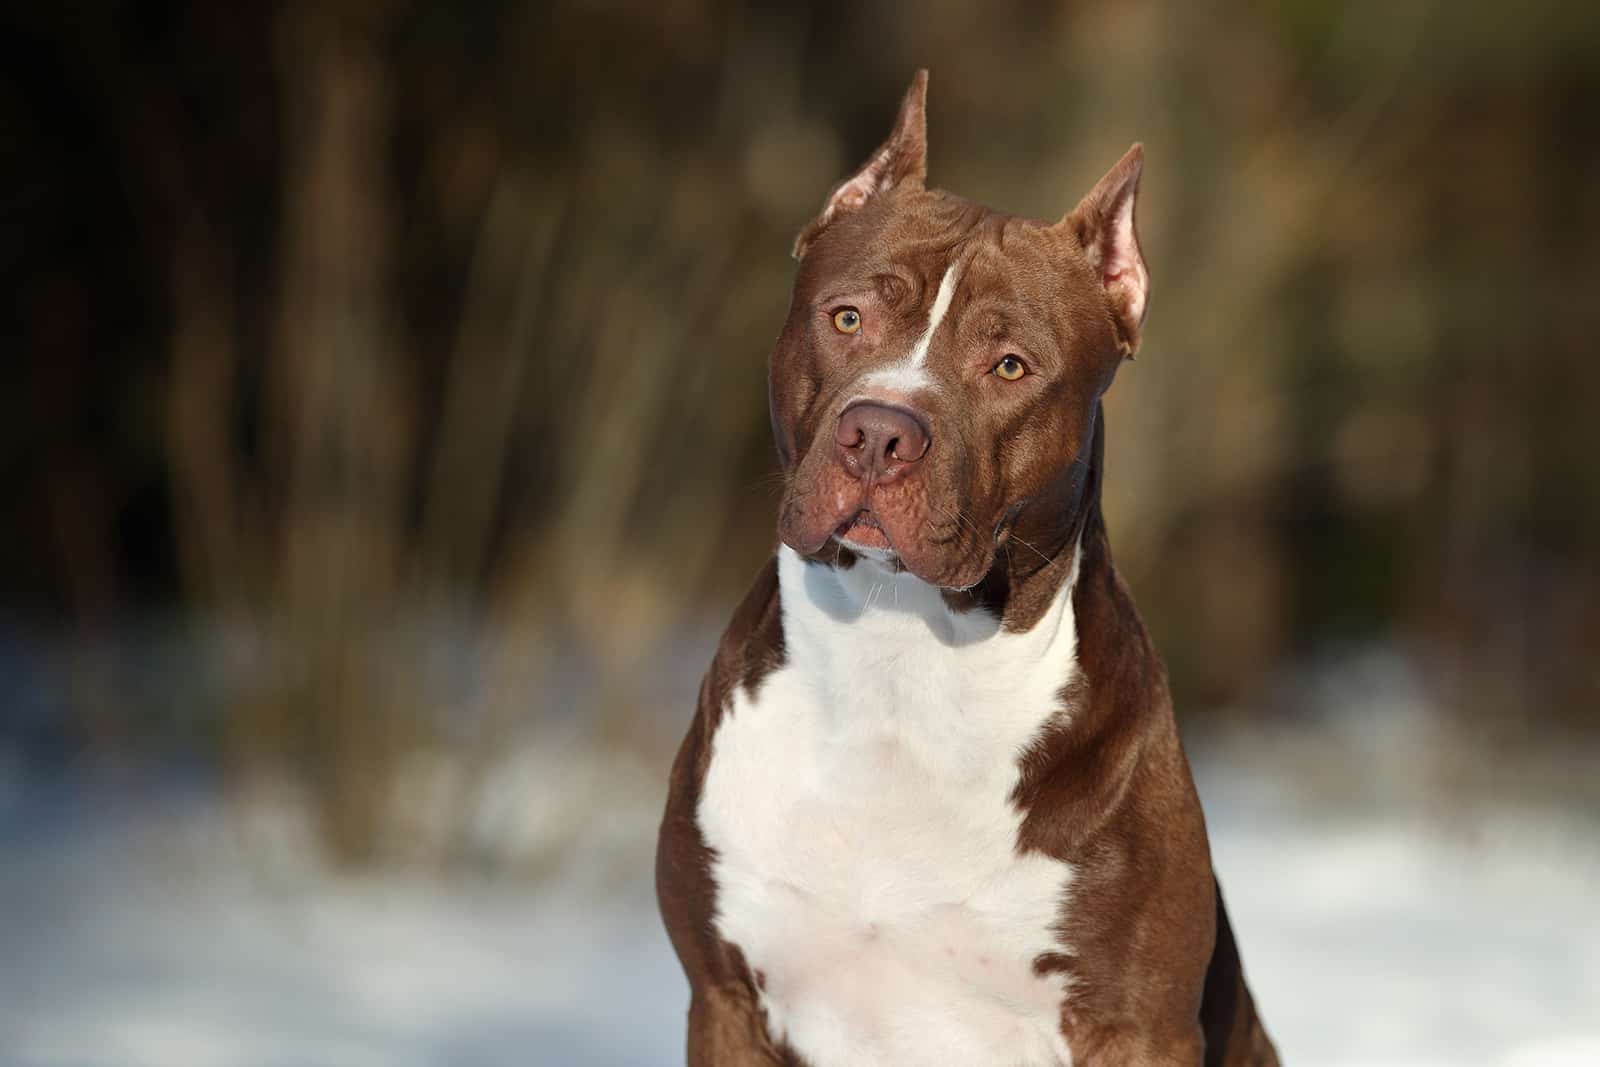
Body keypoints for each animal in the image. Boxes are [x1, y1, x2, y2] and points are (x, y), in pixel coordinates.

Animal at [656, 73, 1280, 1067]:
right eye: (848, 317)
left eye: (1010, 366)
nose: (877, 432)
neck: (898, 656)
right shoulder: (724, 997)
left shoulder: (1135, 1024)